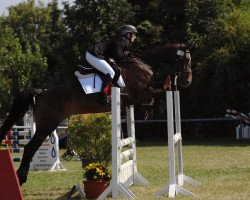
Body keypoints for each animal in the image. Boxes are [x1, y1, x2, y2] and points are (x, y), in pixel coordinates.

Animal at [0, 41, 192, 185]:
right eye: (185, 60)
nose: (187, 81)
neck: (143, 63)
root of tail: (42, 93)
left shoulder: (139, 97)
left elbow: (158, 93)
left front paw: (153, 109)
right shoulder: (138, 95)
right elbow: (158, 93)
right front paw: (159, 106)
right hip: (47, 125)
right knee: (30, 147)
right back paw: (21, 177)